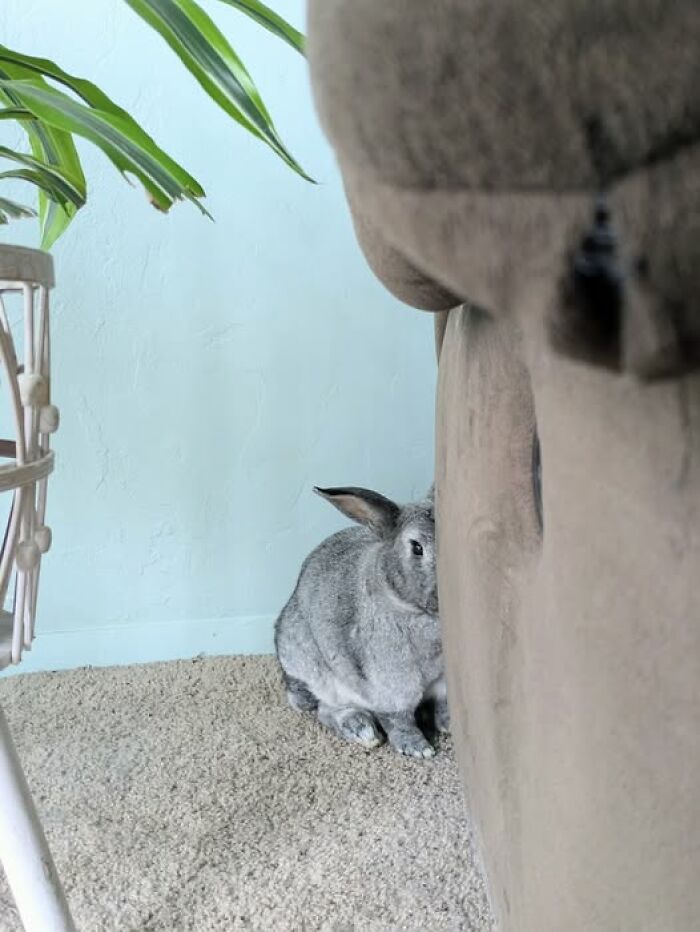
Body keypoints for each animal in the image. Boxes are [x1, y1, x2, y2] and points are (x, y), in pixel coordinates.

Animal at [275, 484, 448, 759]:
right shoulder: (395, 685)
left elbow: (443, 703)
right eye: (417, 547)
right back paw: (362, 730)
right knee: (323, 710)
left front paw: (447, 724)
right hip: (316, 675)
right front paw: (418, 749)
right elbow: (399, 719)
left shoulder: (443, 680)